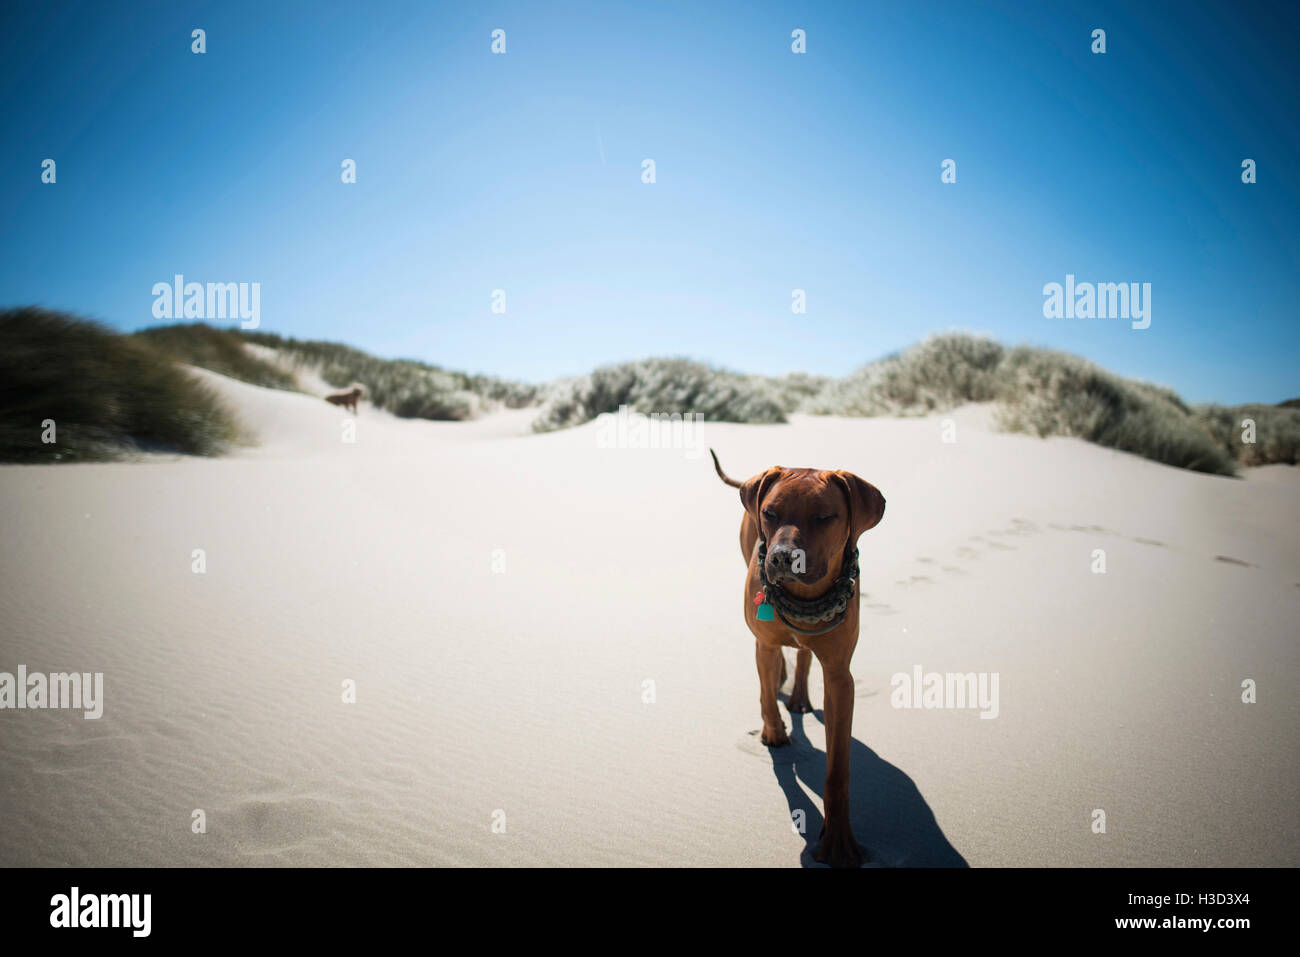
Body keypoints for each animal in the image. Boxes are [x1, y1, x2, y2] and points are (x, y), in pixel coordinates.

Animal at [712, 447, 883, 868]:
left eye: (824, 517)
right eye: (770, 513)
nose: (781, 558)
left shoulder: (840, 676)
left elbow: (838, 770)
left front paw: (838, 839)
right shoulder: (765, 641)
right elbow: (765, 682)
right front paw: (773, 730)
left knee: (805, 655)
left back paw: (801, 695)